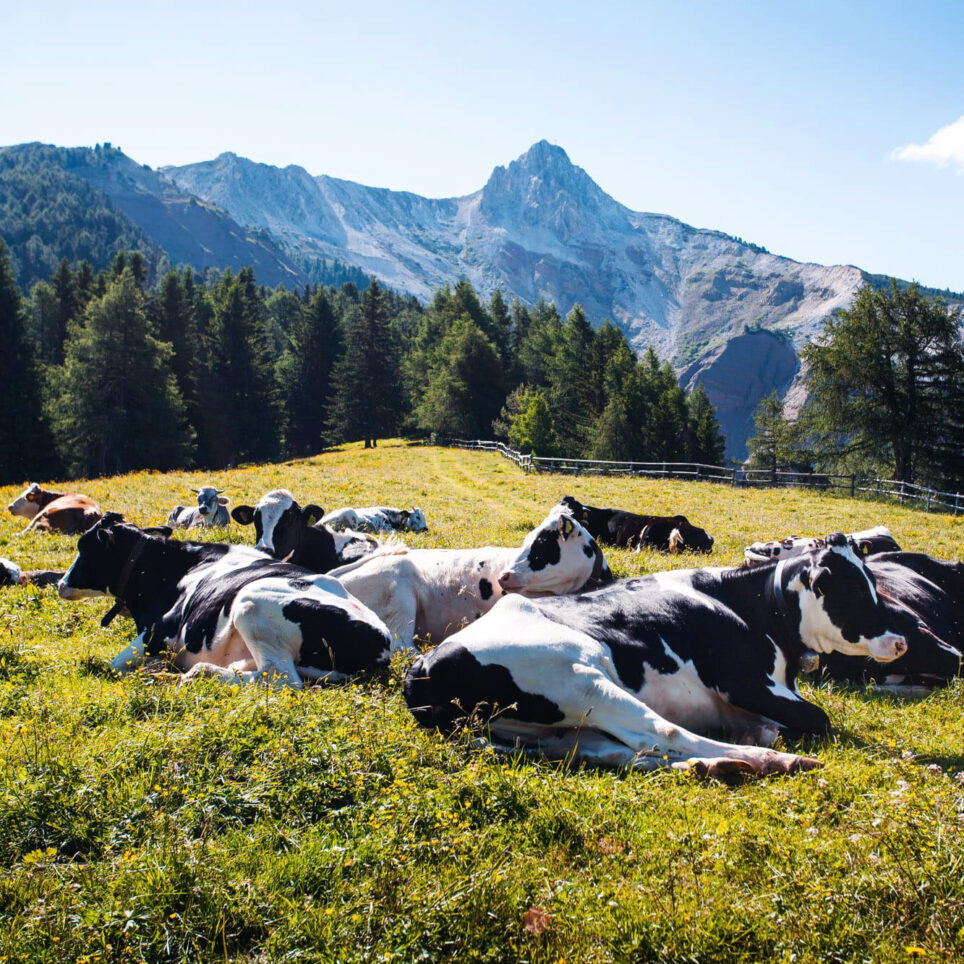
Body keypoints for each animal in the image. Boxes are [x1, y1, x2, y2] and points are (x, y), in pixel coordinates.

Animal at [56, 513, 392, 686]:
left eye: (84, 547)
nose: (60, 583)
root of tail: (381, 642)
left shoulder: (157, 634)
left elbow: (116, 664)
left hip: (249, 602)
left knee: (279, 677)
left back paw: (194, 673)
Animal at [403, 534, 906, 778]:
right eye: (848, 589)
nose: (901, 641)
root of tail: (421, 667)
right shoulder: (745, 681)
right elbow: (819, 718)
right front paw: (768, 735)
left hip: (544, 728)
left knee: (611, 750)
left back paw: (718, 766)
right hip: (583, 680)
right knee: (658, 733)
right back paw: (768, 760)